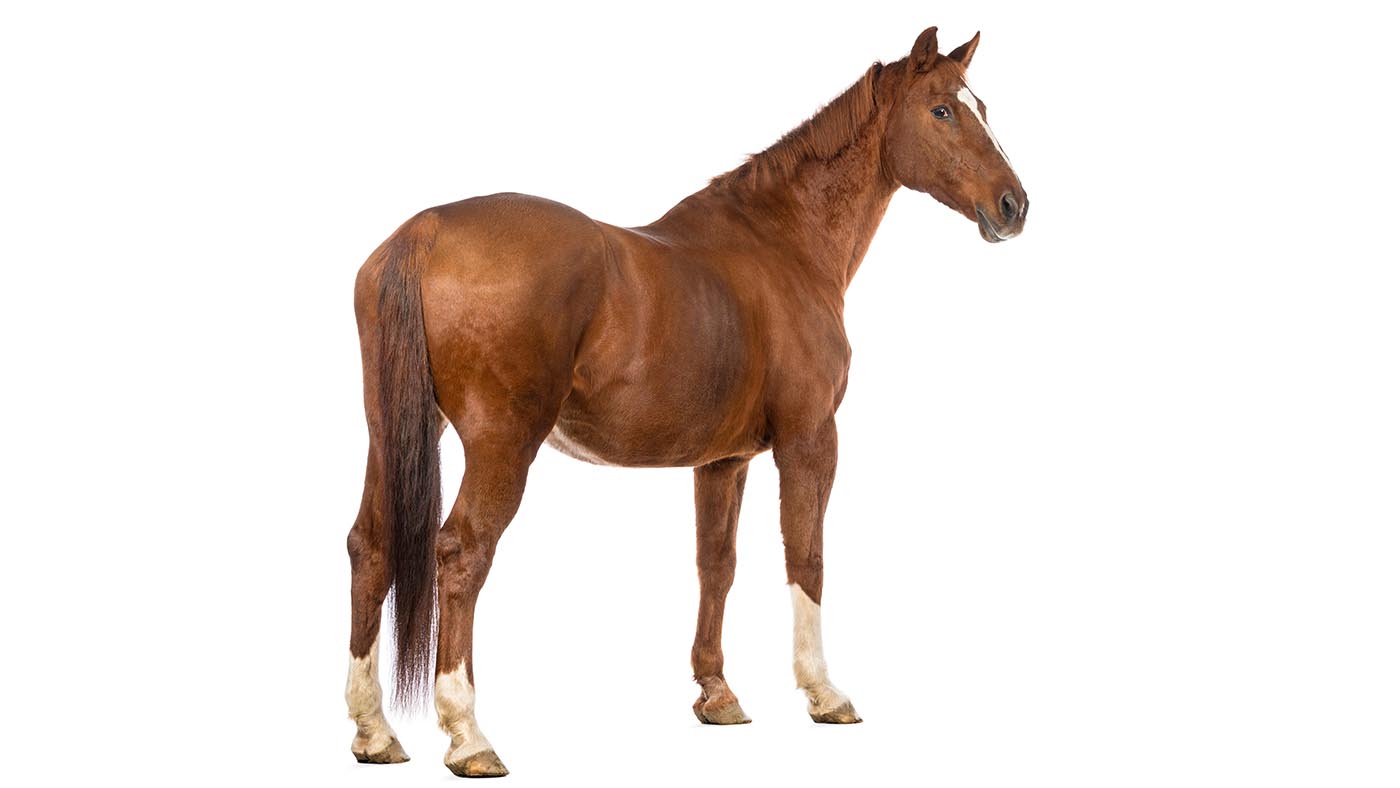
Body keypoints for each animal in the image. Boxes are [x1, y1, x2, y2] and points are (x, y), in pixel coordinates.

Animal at [344, 26, 1027, 777]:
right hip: (502, 443)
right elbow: (806, 556)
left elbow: (716, 565)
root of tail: (425, 230)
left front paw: (717, 694)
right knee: (462, 553)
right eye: (942, 110)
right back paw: (469, 735)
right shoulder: (810, 438)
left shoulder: (723, 460)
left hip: (394, 432)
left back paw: (375, 732)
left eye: (982, 106)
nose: (1013, 206)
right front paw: (824, 692)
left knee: (370, 546)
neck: (782, 243)